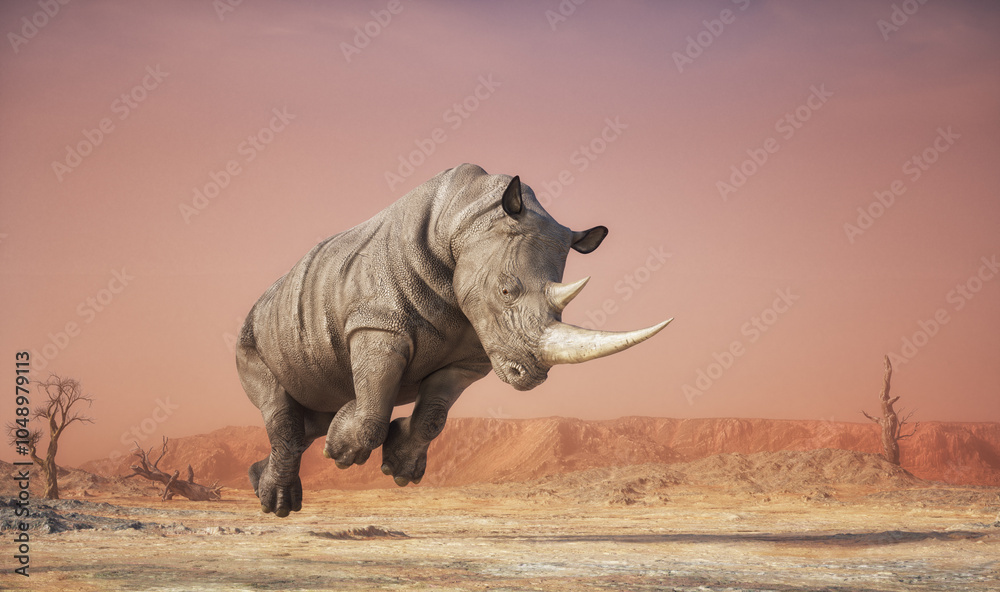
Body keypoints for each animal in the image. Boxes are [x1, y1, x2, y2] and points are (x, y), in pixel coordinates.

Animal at [236, 164, 671, 516]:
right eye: (506, 290)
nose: (529, 375)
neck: (470, 216)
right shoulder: (377, 323)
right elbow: (373, 408)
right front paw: (342, 449)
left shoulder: (472, 355)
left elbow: (434, 416)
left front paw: (398, 468)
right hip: (252, 334)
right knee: (276, 398)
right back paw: (279, 504)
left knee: (307, 418)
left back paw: (264, 482)